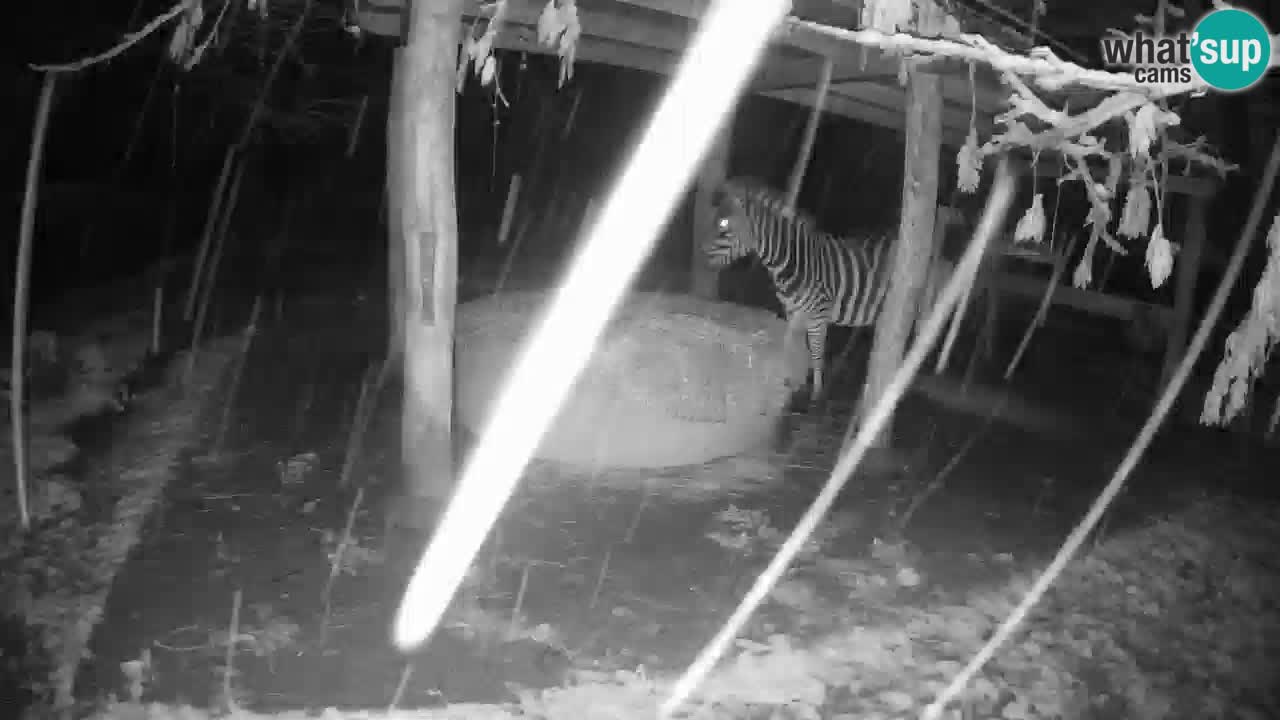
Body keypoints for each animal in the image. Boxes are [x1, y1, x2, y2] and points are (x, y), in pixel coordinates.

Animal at [704, 177, 951, 408]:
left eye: (724, 224)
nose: (703, 257)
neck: (792, 264)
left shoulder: (818, 315)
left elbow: (816, 352)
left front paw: (815, 395)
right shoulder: (793, 311)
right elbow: (791, 345)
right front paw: (788, 381)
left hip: (919, 305)